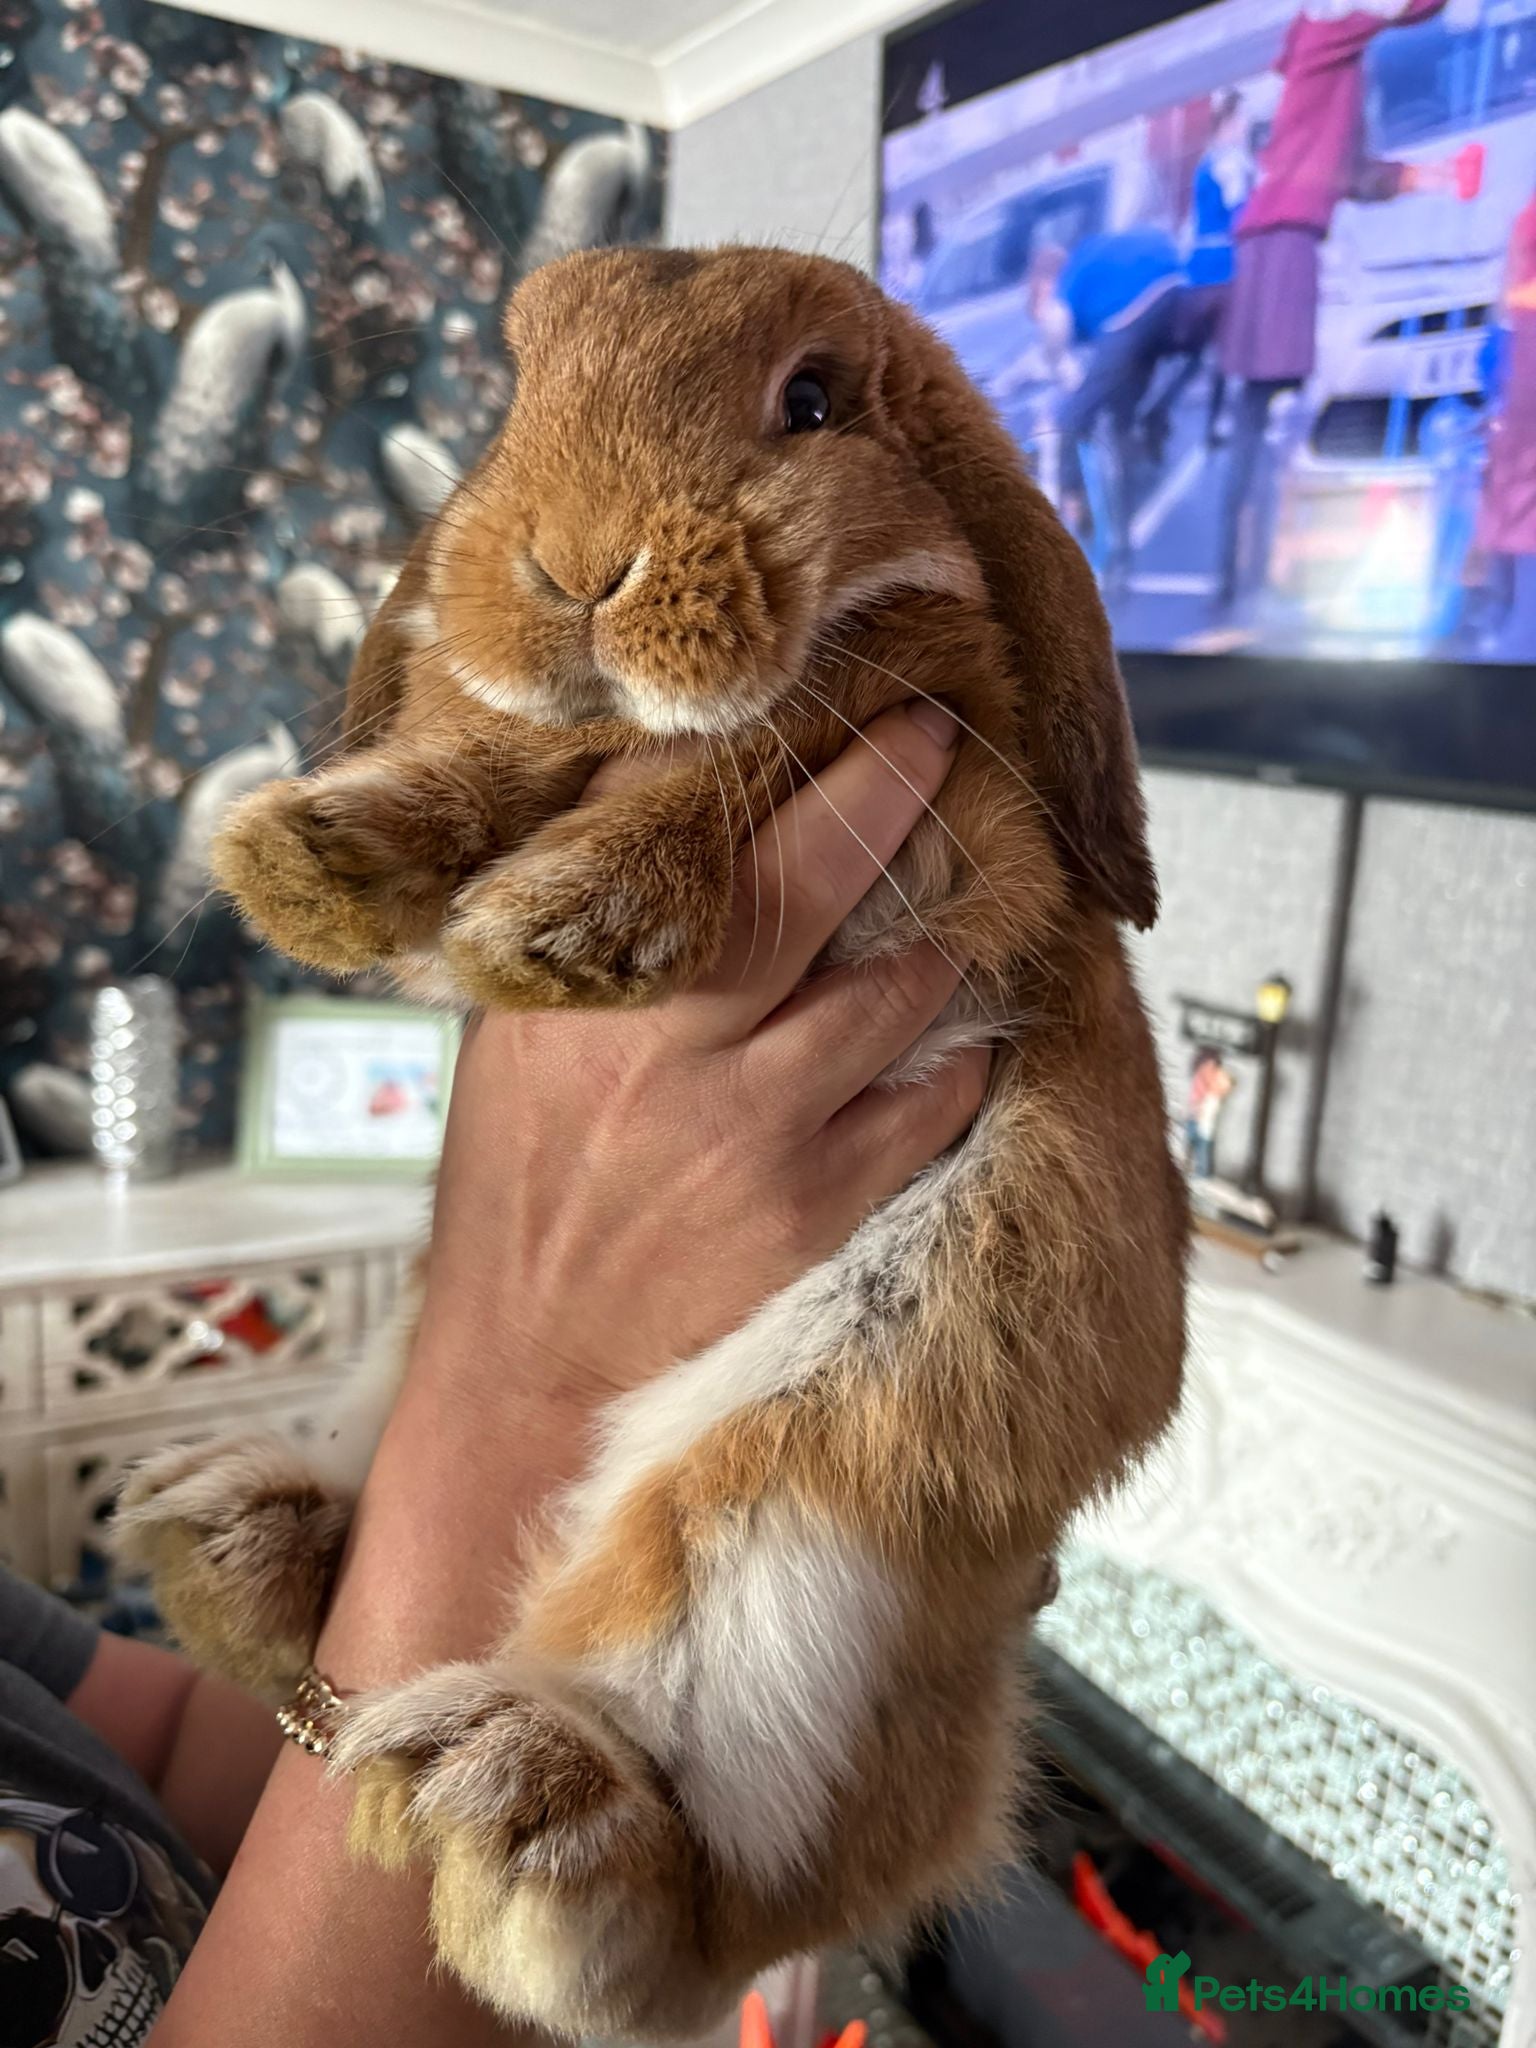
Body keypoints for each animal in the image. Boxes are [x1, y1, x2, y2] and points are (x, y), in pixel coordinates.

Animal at [115, 245, 1187, 2039]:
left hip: (813, 1502)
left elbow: (732, 750)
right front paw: (310, 859)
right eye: (518, 382)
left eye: (812, 399)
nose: (571, 565)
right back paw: (231, 1542)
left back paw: (531, 1817)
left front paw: (559, 928)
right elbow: (504, 743)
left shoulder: (940, 779)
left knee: (739, 1897)